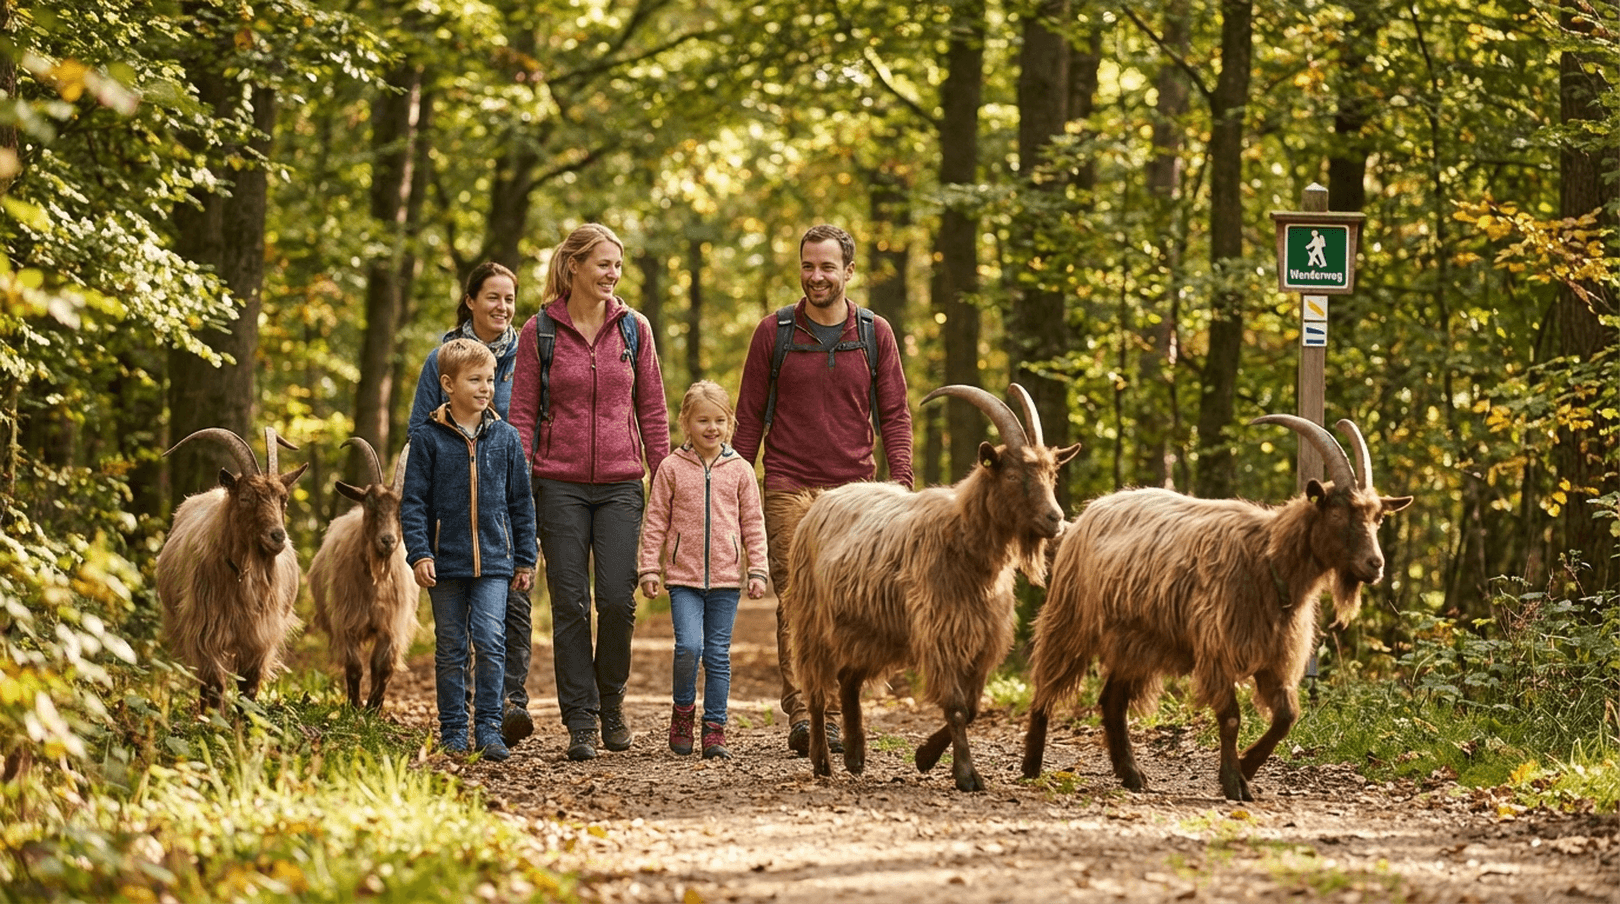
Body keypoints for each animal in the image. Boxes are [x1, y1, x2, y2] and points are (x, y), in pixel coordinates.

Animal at [156, 427, 309, 712]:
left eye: (283, 500)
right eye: (246, 498)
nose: (277, 537)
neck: (241, 575)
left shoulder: (259, 636)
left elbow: (248, 687)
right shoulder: (205, 630)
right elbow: (214, 684)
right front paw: (213, 719)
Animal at [309, 438, 418, 709]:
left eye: (403, 508)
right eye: (370, 504)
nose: (387, 540)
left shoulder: (391, 625)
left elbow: (383, 667)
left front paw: (374, 707)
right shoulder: (346, 622)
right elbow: (355, 667)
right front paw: (355, 706)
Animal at [786, 384, 1080, 792]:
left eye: (1051, 474)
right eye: (1012, 475)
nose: (1055, 519)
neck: (960, 538)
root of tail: (815, 503)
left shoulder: (981, 638)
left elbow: (971, 707)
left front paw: (925, 757)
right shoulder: (941, 634)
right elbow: (956, 706)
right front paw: (966, 775)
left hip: (875, 630)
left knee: (848, 680)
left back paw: (856, 756)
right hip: (811, 620)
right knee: (815, 688)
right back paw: (821, 761)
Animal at [1021, 415, 1412, 801]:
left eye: (1378, 517)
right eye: (1337, 513)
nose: (1375, 565)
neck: (1267, 559)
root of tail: (1091, 512)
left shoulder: (1273, 657)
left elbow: (1286, 717)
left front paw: (1247, 768)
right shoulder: (1218, 649)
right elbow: (1232, 717)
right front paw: (1233, 780)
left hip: (1135, 642)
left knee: (1112, 701)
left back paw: (1131, 775)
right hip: (1071, 620)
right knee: (1046, 685)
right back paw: (1031, 767)